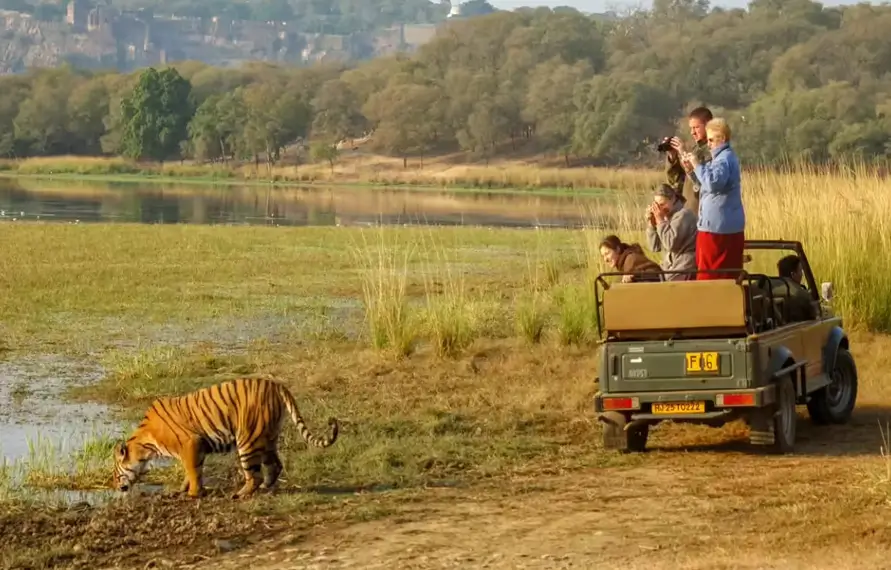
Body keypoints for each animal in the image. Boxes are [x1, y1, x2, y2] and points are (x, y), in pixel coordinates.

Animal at [112, 375, 339, 499]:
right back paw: (266, 487)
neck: (145, 444)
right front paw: (183, 490)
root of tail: (277, 385)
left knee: (254, 475)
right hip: (268, 438)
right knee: (275, 465)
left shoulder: (190, 444)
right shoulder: (196, 448)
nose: (116, 486)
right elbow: (191, 472)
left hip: (247, 440)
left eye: (115, 473)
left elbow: (192, 472)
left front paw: (193, 494)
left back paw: (240, 494)